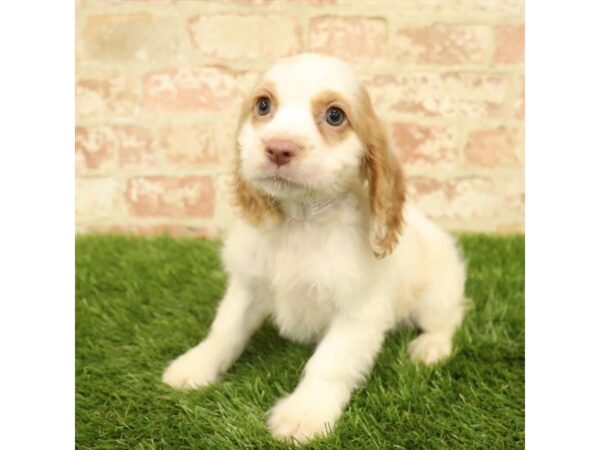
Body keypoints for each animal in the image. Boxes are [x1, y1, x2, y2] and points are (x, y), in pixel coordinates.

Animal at [164, 52, 468, 442]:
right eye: (263, 105)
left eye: (335, 115)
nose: (278, 148)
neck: (301, 220)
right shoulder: (248, 285)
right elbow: (225, 329)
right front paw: (196, 365)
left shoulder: (358, 311)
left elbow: (329, 363)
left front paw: (303, 414)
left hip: (436, 294)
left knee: (450, 316)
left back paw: (431, 347)